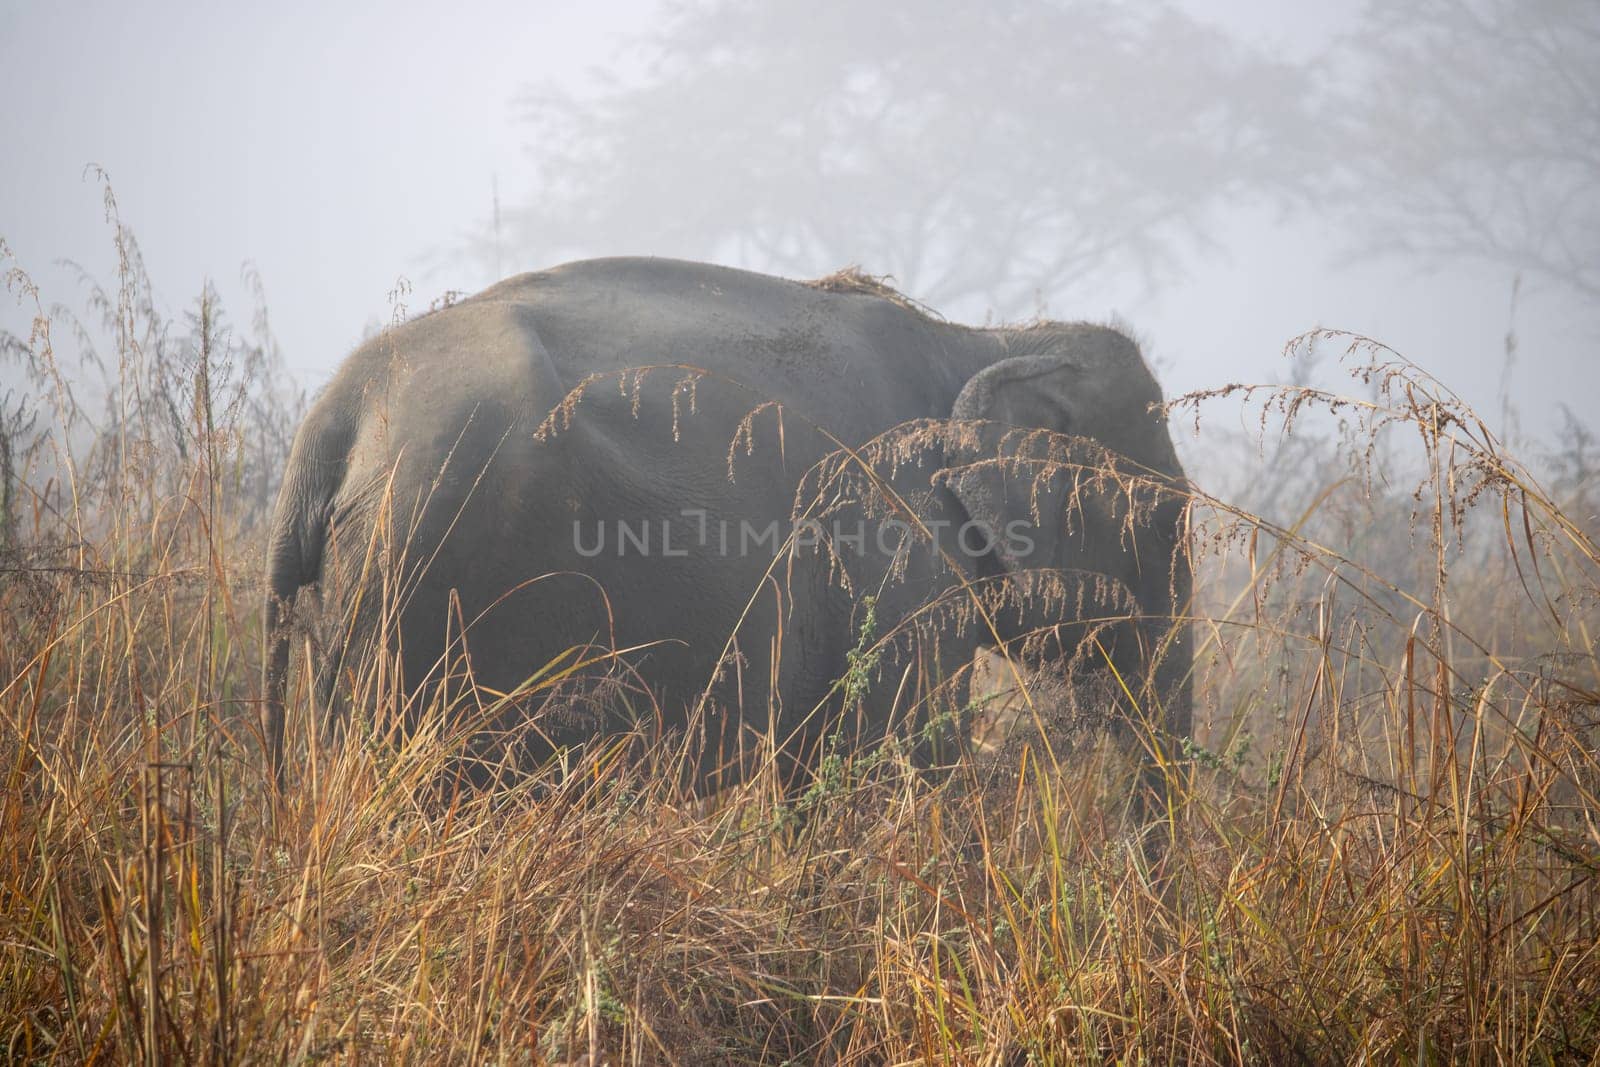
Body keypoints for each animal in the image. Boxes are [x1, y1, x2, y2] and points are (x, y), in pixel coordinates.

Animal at [262, 255, 1190, 793]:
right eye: (1169, 521)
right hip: (426, 579)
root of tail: (334, 418)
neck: (979, 340)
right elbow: (900, 765)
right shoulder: (894, 542)